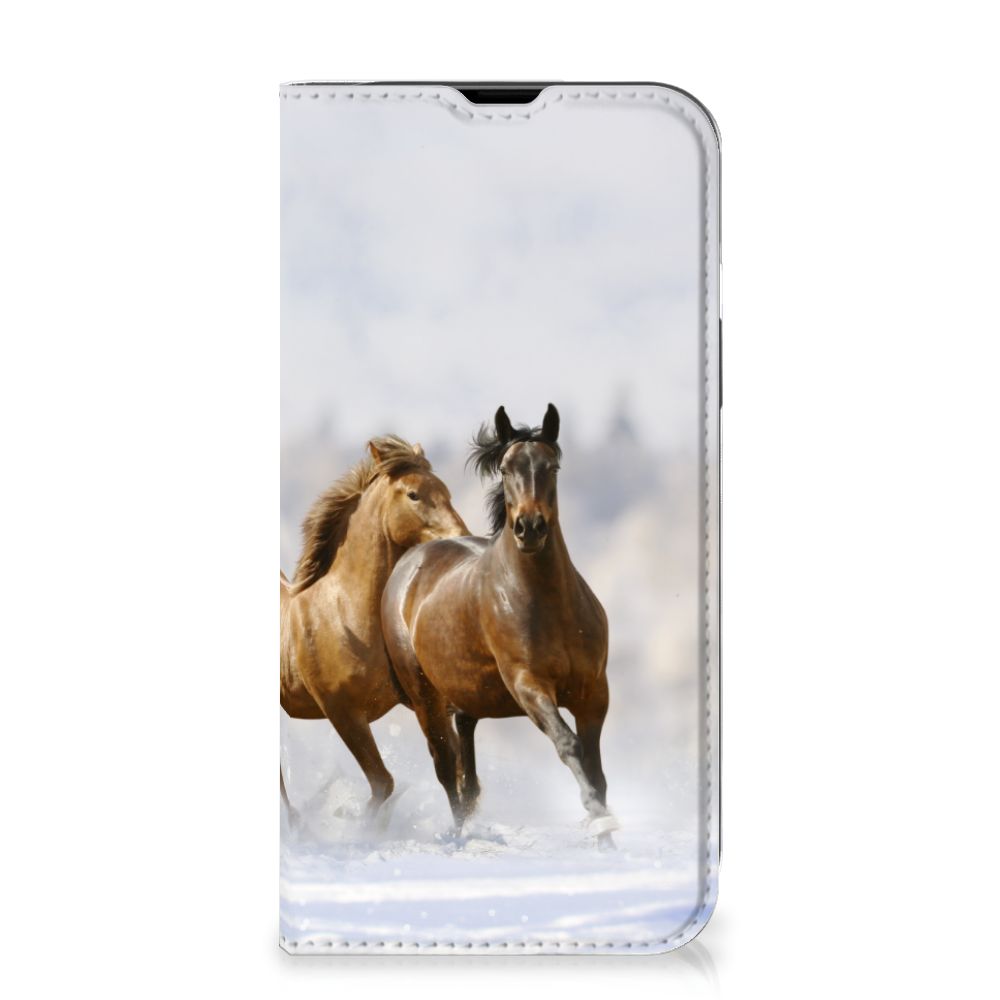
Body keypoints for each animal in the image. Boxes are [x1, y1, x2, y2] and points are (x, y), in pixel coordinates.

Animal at [280, 436, 469, 825]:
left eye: (446, 491)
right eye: (413, 494)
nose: (462, 537)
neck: (344, 614)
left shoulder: (424, 701)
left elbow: (452, 768)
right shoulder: (343, 712)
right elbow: (383, 782)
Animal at [381, 405, 618, 847]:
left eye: (552, 466)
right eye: (506, 469)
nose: (530, 527)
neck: (549, 605)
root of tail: (409, 563)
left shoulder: (594, 691)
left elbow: (596, 767)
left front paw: (607, 836)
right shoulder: (528, 685)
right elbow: (569, 745)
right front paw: (599, 820)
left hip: (467, 696)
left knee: (466, 769)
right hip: (425, 698)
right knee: (446, 767)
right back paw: (459, 837)